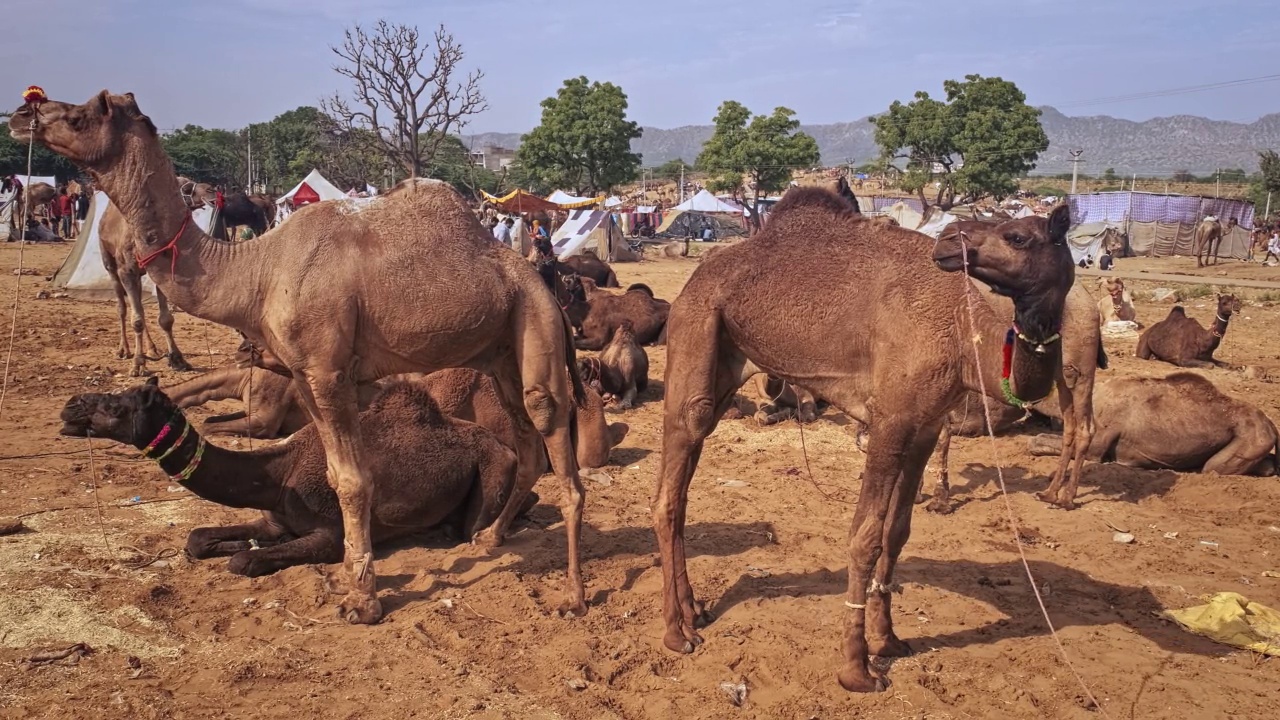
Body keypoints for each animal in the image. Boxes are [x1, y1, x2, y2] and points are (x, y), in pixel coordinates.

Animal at [58, 379, 529, 573]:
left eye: (116, 407)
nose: (69, 407)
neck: (280, 473)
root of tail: (502, 444)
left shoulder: (330, 533)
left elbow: (243, 562)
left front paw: (242, 551)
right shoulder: (274, 517)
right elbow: (197, 538)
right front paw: (231, 542)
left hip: (495, 468)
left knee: (479, 522)